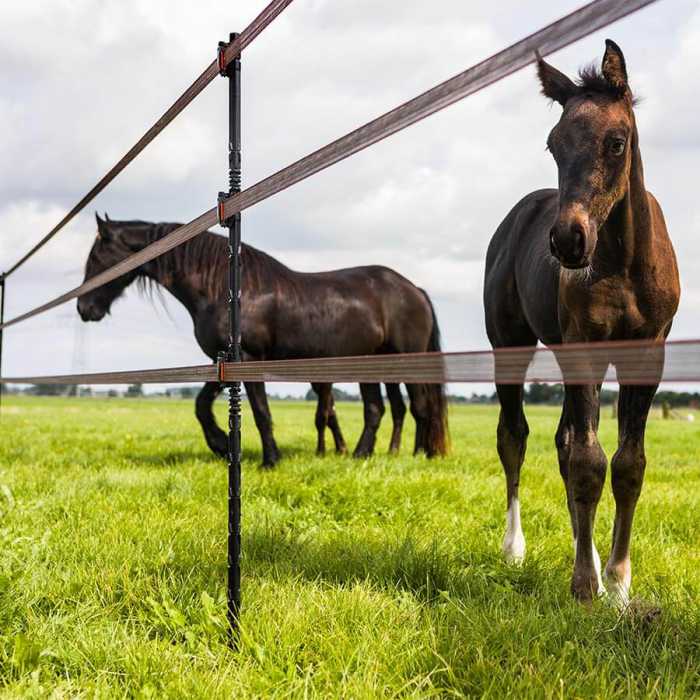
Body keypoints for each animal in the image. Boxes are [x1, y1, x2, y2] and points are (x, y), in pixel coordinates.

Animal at [78, 213, 448, 464]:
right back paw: (361, 455)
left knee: (419, 407)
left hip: (405, 361)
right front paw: (219, 443)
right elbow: (201, 405)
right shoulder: (222, 360)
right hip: (368, 363)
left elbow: (260, 411)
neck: (225, 289)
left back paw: (418, 456)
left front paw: (270, 459)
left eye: (96, 256)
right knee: (377, 409)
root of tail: (413, 289)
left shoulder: (248, 359)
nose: (84, 308)